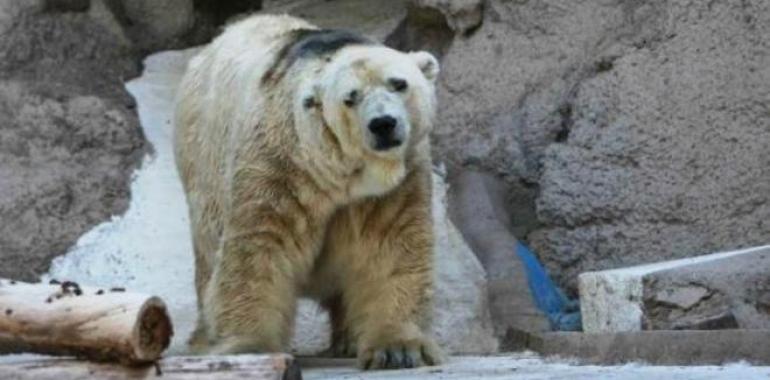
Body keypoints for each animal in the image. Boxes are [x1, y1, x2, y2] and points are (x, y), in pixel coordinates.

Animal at [172, 14, 440, 368]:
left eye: (399, 83)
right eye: (350, 98)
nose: (383, 124)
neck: (338, 173)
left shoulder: (396, 181)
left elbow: (391, 244)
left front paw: (398, 348)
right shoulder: (279, 164)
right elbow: (260, 247)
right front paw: (250, 346)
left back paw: (347, 341)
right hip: (202, 164)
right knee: (207, 255)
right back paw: (203, 340)